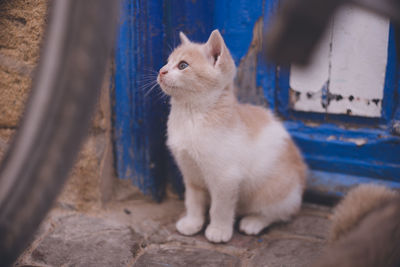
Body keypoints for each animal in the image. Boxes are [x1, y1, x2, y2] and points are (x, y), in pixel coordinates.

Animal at [156, 29, 306, 245]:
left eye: (182, 65)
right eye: (167, 62)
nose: (161, 71)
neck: (191, 114)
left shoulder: (226, 178)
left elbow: (220, 207)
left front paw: (218, 230)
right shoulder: (191, 173)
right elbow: (193, 200)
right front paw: (192, 223)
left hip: (275, 189)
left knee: (280, 212)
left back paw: (254, 222)